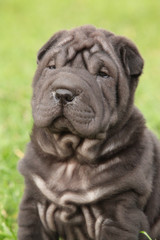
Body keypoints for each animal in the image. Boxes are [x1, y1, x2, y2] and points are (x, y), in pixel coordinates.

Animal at [17, 25, 160, 239]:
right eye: (52, 67)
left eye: (103, 74)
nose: (63, 93)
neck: (72, 157)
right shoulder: (34, 206)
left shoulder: (120, 215)